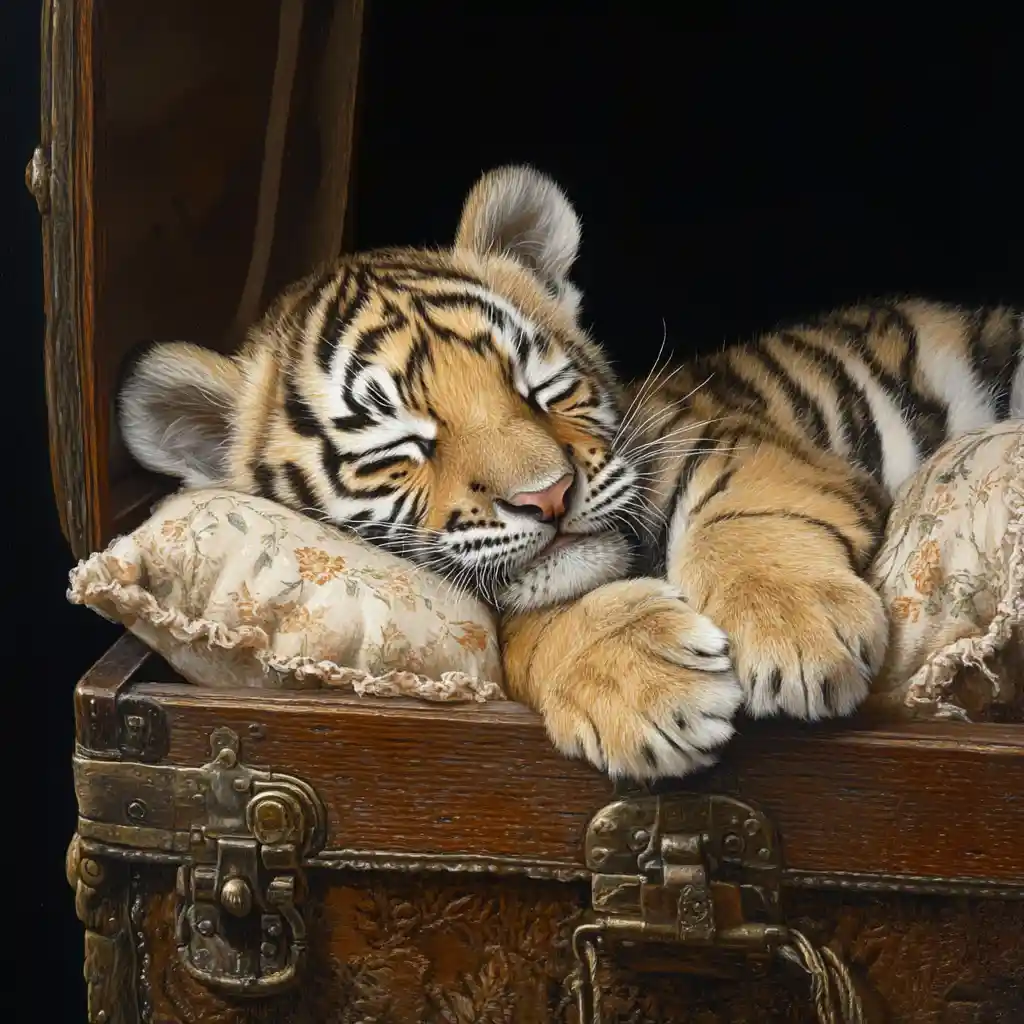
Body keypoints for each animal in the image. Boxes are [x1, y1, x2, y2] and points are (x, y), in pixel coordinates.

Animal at [119, 165, 1024, 781]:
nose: (548, 496)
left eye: (536, 388)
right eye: (401, 446)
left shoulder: (727, 435)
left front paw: (794, 630)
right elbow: (532, 621)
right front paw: (642, 687)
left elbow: (740, 516)